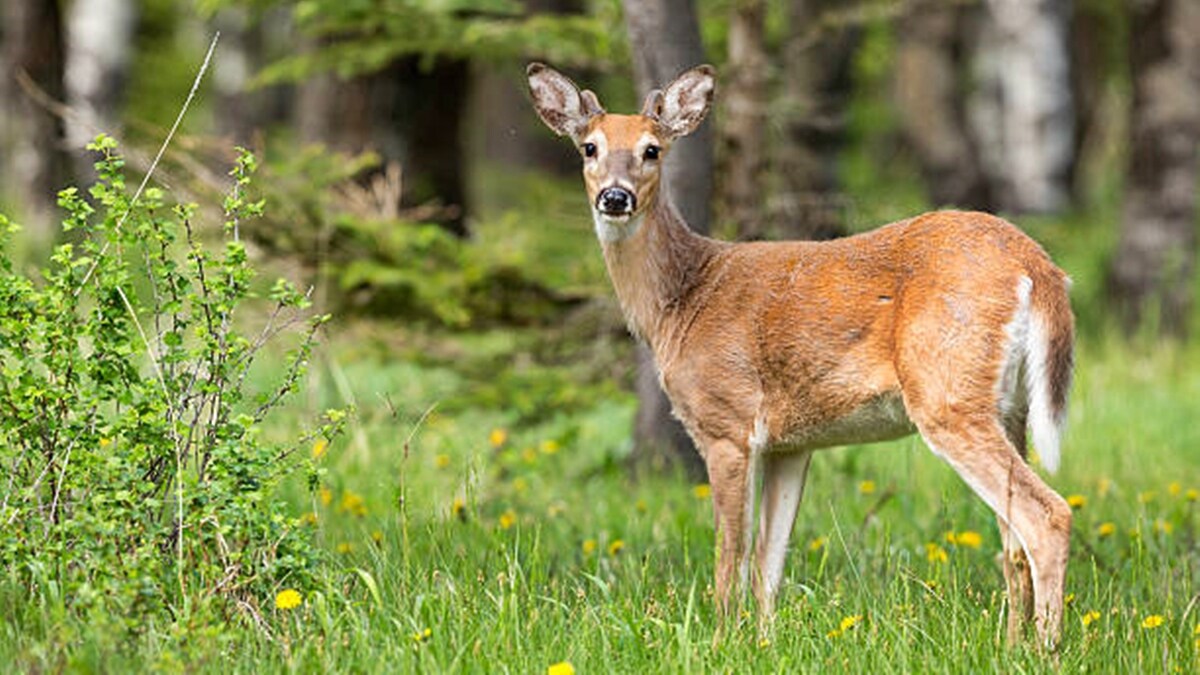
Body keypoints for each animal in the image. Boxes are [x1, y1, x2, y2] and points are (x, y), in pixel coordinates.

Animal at [526, 62, 1075, 649]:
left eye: (652, 150)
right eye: (589, 147)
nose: (615, 197)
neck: (681, 302)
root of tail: (1038, 266)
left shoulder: (727, 423)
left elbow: (731, 555)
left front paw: (721, 642)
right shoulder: (792, 443)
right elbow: (769, 561)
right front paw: (764, 643)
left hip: (946, 393)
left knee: (1048, 516)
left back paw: (1044, 650)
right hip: (1008, 407)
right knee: (1013, 542)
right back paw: (1011, 644)